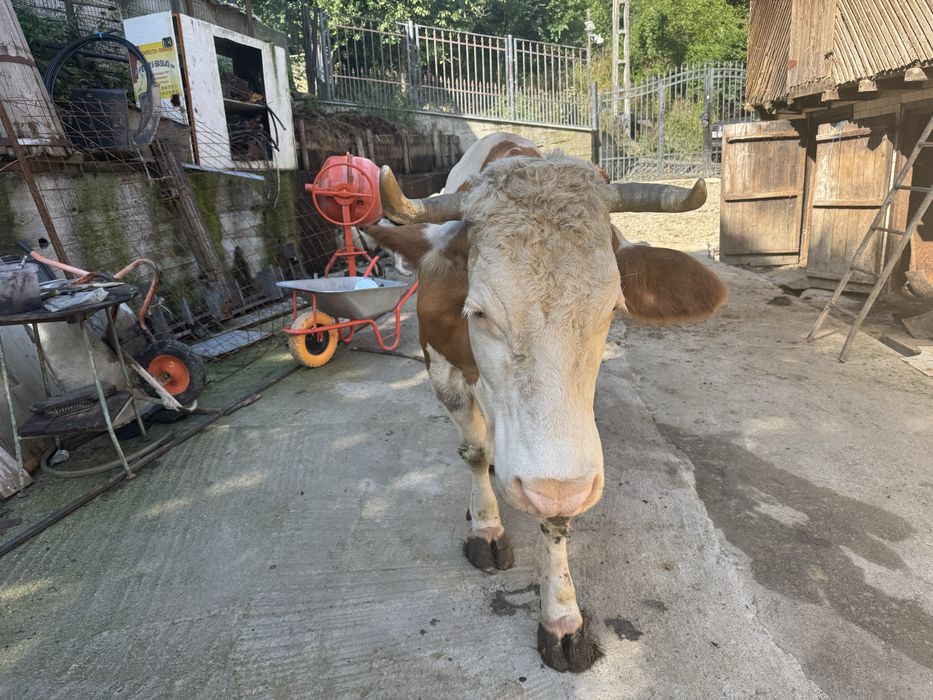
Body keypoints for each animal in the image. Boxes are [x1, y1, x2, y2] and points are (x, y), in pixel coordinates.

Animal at [362, 133, 726, 672]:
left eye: (612, 309)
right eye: (479, 311)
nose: (552, 486)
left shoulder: (567, 453)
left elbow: (555, 512)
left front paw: (562, 617)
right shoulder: (440, 367)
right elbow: (474, 452)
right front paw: (486, 527)